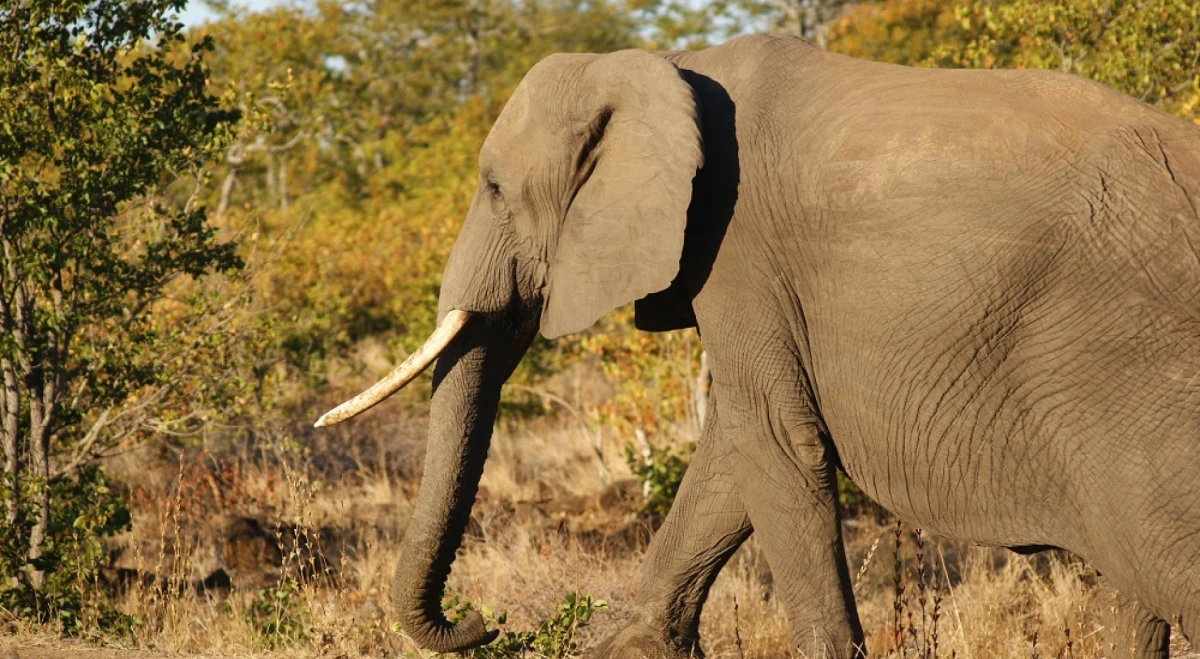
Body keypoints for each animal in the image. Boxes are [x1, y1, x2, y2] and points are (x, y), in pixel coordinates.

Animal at [315, 34, 1200, 658]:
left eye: (495, 189)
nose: (481, 621)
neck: (665, 68)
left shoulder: (738, 247)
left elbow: (775, 441)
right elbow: (733, 455)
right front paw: (629, 644)